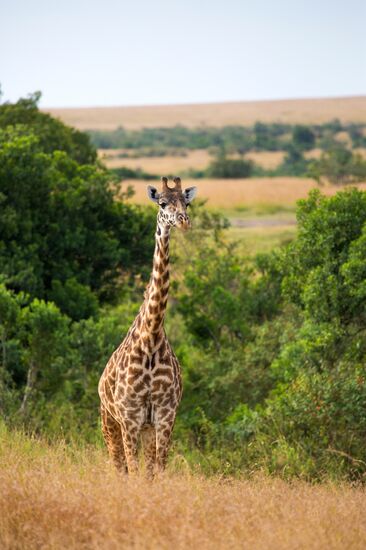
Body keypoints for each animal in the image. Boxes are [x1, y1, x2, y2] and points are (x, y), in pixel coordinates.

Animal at [96, 178, 194, 478]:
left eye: (187, 204)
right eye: (162, 203)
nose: (184, 221)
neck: (151, 337)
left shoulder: (165, 416)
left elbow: (156, 472)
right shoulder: (129, 417)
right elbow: (134, 471)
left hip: (146, 428)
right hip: (108, 420)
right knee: (119, 468)